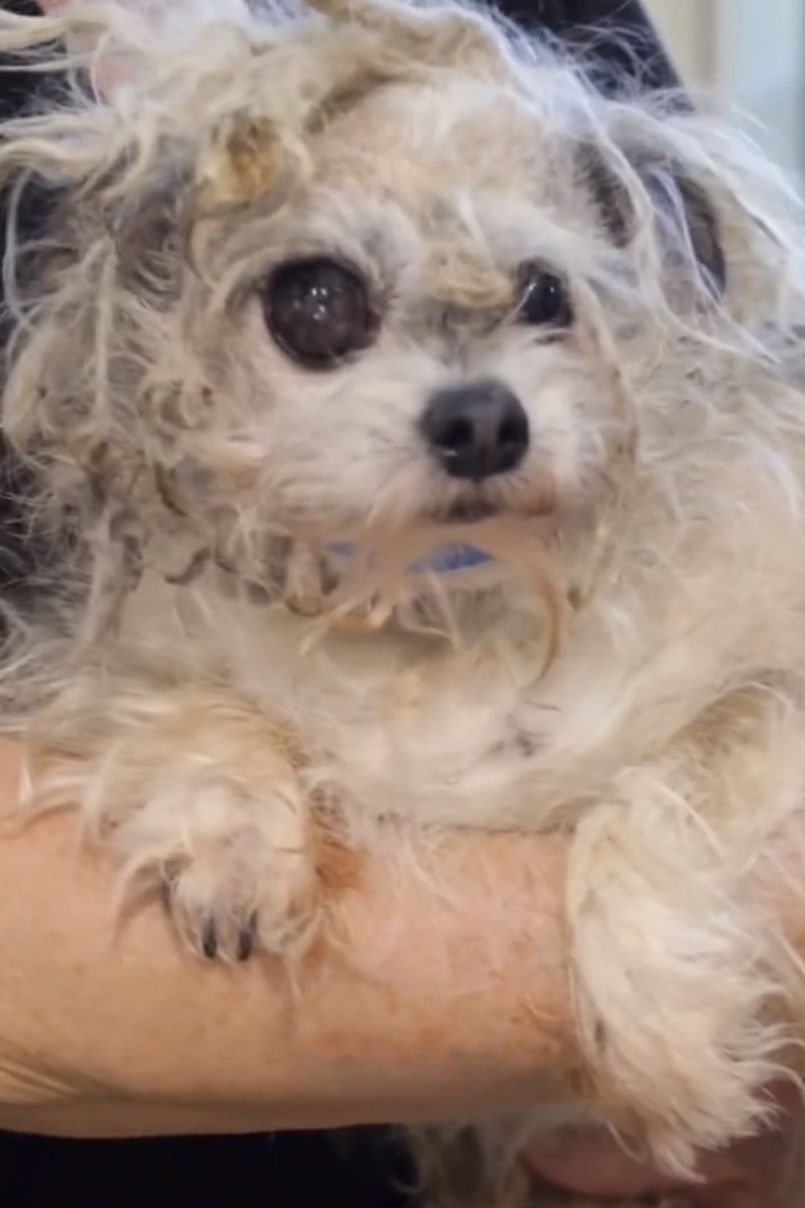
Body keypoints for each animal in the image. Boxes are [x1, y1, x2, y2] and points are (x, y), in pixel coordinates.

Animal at [1, 0, 802, 1203]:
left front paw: (655, 1017)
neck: (445, 604)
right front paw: (231, 828)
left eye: (544, 296)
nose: (483, 420)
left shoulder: (767, 682)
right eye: (317, 303)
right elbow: (184, 703)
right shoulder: (115, 665)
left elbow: (676, 773)